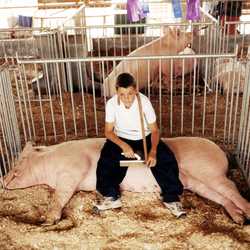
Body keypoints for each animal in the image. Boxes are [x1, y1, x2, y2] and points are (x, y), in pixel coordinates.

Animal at [0, 137, 250, 227]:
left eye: (18, 167)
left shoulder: (72, 170)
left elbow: (59, 195)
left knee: (232, 188)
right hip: (199, 183)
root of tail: (220, 150)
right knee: (222, 197)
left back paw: (246, 214)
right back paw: (238, 220)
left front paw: (47, 221)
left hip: (209, 172)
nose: (3, 179)